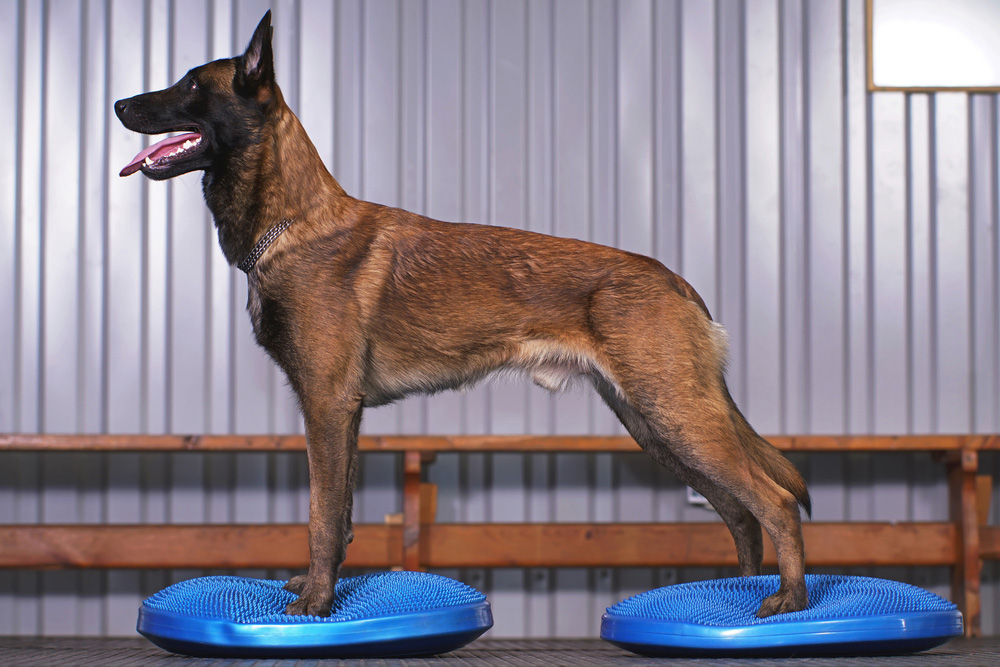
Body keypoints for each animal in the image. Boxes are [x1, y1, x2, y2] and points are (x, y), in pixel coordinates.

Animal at [113, 10, 808, 620]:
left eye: (191, 85)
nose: (119, 105)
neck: (294, 224)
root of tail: (678, 282)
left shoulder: (327, 405)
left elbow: (320, 513)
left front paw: (316, 605)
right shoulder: (344, 414)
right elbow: (341, 517)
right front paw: (319, 587)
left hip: (675, 415)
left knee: (774, 500)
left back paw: (791, 601)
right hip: (654, 423)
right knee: (739, 511)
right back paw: (738, 601)